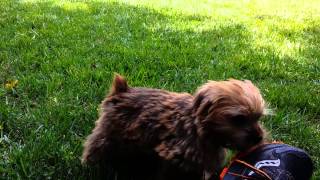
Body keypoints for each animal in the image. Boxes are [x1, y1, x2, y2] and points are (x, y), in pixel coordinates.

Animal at [82, 74, 268, 180]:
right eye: (239, 119)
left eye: (258, 117)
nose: (259, 137)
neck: (199, 128)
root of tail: (122, 90)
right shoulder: (171, 156)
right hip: (109, 131)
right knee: (95, 146)